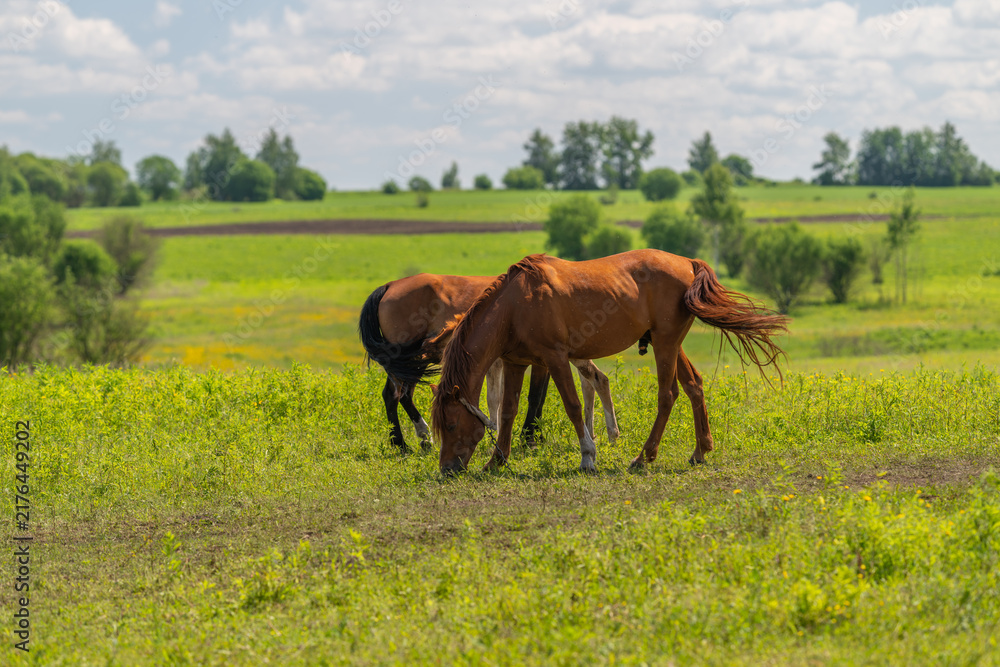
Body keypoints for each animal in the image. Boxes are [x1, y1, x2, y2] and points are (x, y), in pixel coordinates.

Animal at [358, 273, 620, 452]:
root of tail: (389, 286)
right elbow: (528, 397)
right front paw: (527, 437)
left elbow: (527, 397)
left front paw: (528, 436)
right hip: (408, 364)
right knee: (399, 395)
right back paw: (415, 439)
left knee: (393, 395)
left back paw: (403, 442)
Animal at [429, 250, 787, 474]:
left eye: (450, 425)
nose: (447, 469)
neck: (516, 304)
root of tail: (687, 263)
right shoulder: (516, 363)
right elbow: (508, 411)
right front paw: (497, 460)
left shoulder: (555, 359)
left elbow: (574, 406)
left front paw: (588, 456)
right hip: (670, 344)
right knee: (693, 386)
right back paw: (700, 450)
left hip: (666, 345)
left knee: (668, 395)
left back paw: (644, 456)